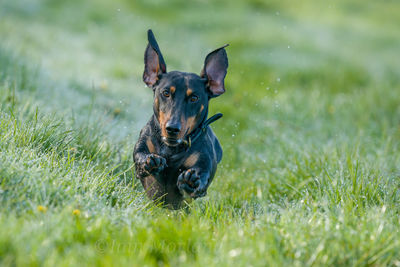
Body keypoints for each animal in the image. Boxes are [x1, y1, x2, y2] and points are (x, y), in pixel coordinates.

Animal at [134, 29, 228, 209]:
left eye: (194, 98)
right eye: (165, 93)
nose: (172, 129)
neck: (171, 149)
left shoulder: (204, 160)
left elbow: (200, 177)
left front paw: (192, 180)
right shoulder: (143, 144)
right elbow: (140, 155)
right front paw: (149, 160)